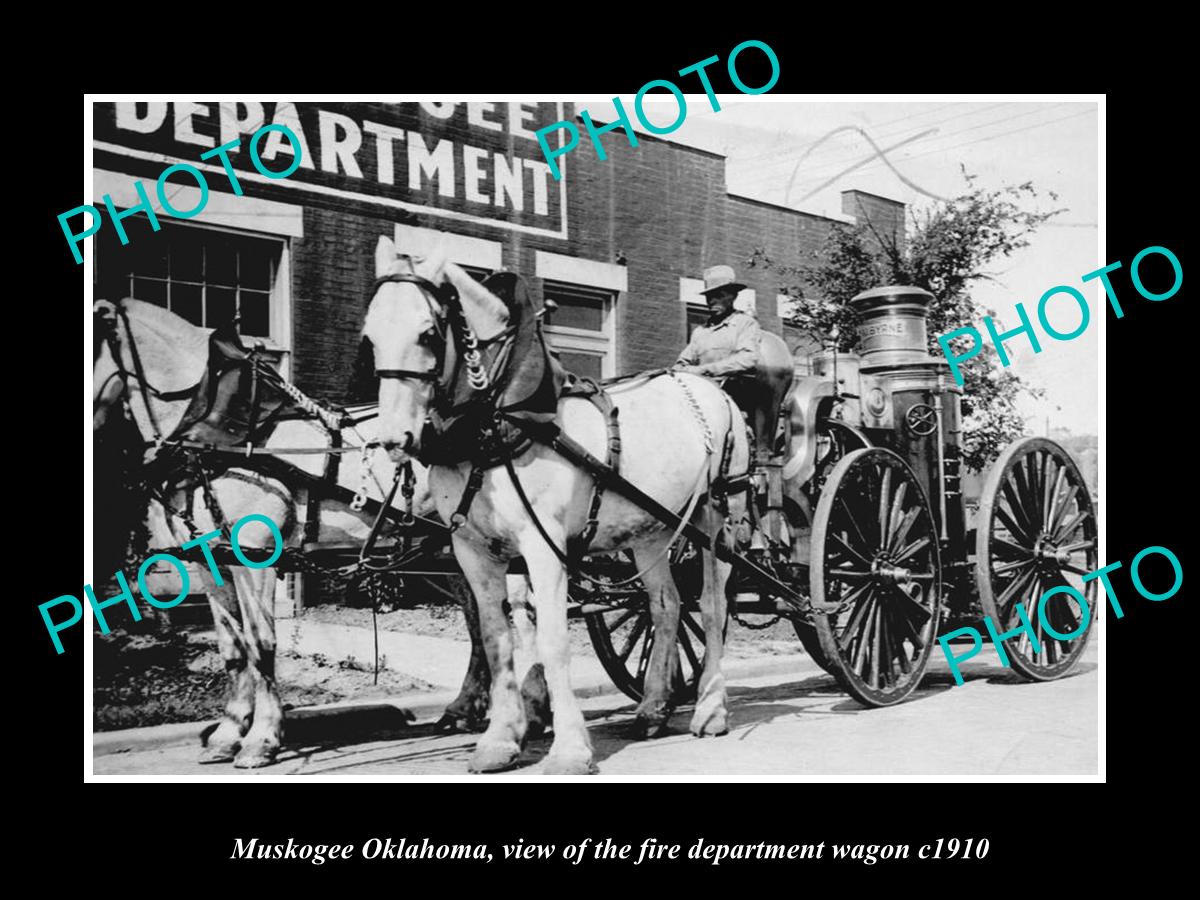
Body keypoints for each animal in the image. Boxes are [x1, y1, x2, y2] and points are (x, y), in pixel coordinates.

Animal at [96, 301, 537, 768]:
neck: (222, 435)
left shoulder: (255, 556)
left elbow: (262, 644)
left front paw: (262, 739)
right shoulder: (212, 563)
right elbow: (233, 649)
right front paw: (229, 733)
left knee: (525, 618)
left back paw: (532, 712)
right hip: (453, 552)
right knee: (478, 621)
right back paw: (463, 711)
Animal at [364, 237, 744, 777]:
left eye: (429, 332)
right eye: (370, 336)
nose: (395, 439)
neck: (502, 420)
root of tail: (707, 387)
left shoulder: (543, 548)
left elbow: (551, 639)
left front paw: (569, 749)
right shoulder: (474, 551)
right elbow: (496, 637)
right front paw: (501, 739)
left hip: (715, 519)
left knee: (711, 605)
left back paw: (710, 708)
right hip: (651, 530)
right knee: (666, 606)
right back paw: (652, 709)